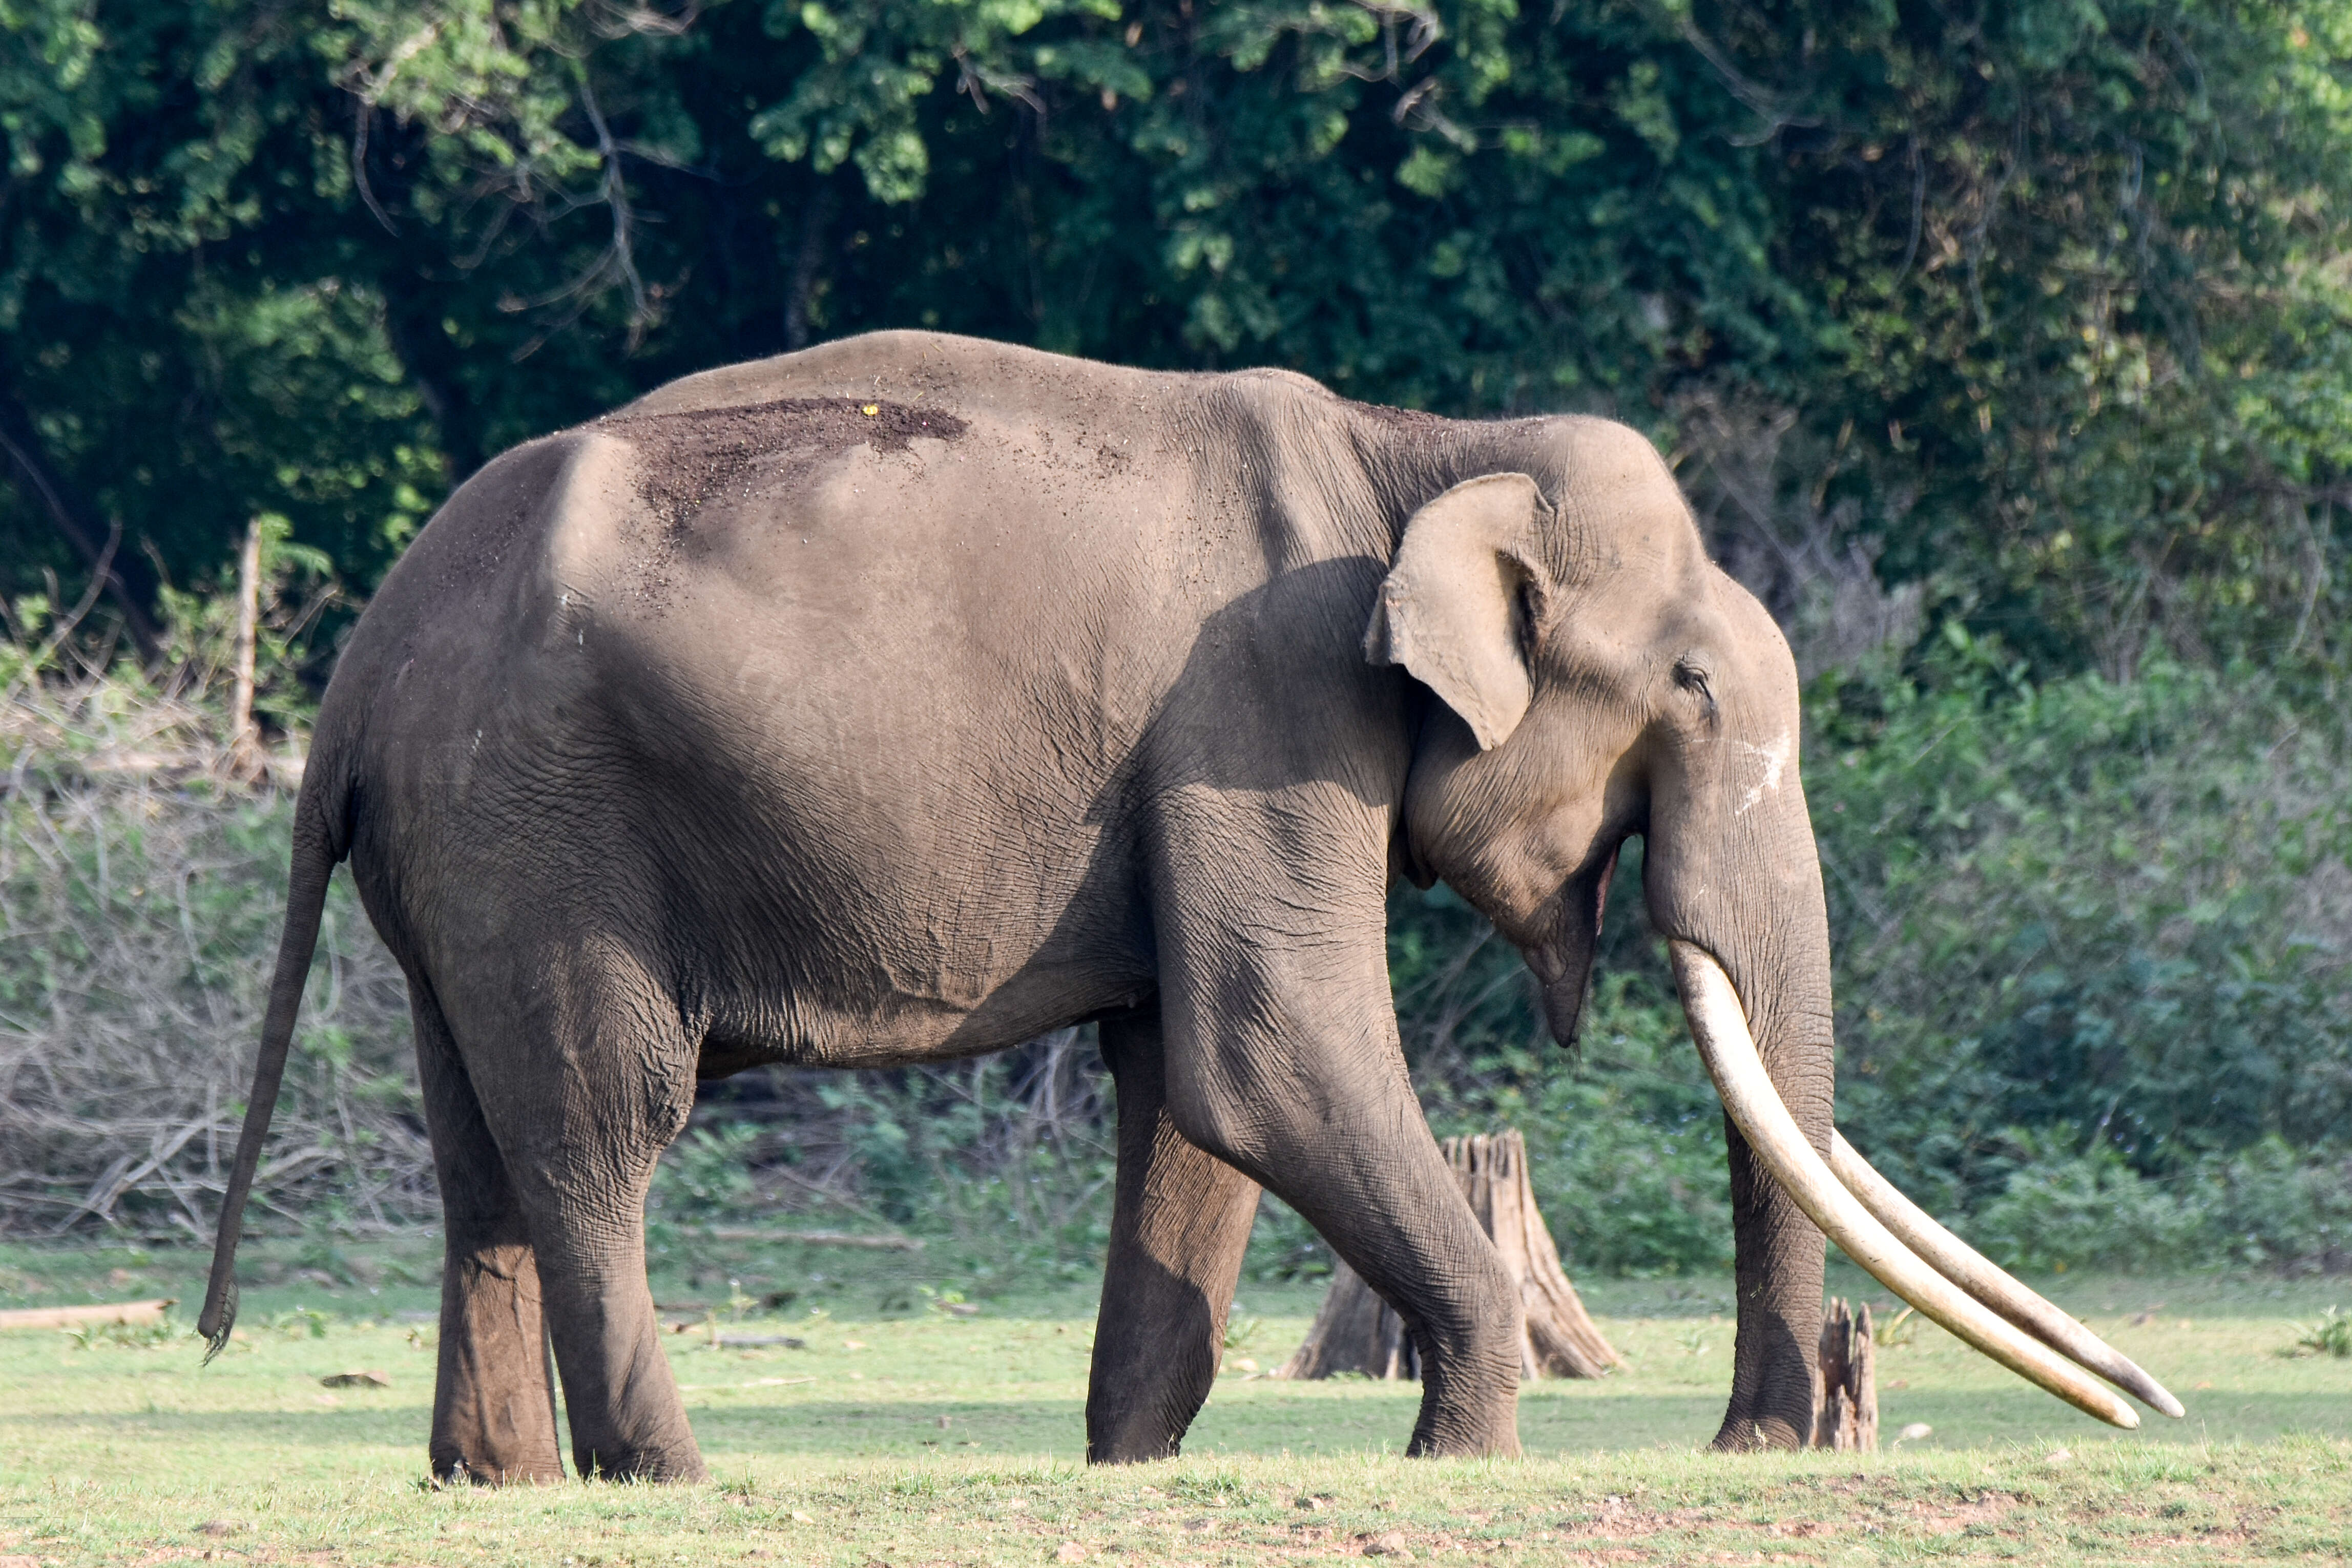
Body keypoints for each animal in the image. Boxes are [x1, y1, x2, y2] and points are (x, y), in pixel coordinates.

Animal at [193, 331, 2173, 1486]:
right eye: (1688, 688)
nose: (1755, 1441)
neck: (1414, 443)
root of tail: (354, 679)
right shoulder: (1263, 703)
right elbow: (1270, 1049)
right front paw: (1463, 1454)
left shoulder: (1205, 762)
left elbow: (1187, 1088)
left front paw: (1128, 1465)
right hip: (546, 825)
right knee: (601, 1124)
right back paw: (663, 1476)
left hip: (466, 856)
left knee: (479, 1148)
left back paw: (494, 1482)